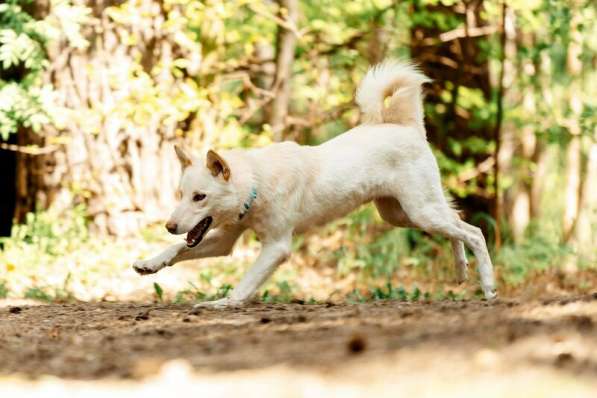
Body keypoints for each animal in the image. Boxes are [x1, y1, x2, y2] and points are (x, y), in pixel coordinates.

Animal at [133, 59, 496, 308]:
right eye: (181, 194)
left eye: (200, 197)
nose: (169, 225)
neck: (257, 183)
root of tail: (405, 126)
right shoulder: (224, 241)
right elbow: (179, 248)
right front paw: (149, 263)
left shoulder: (276, 247)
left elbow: (245, 281)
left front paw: (223, 302)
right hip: (402, 214)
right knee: (456, 223)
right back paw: (461, 271)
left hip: (420, 210)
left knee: (473, 232)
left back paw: (489, 286)